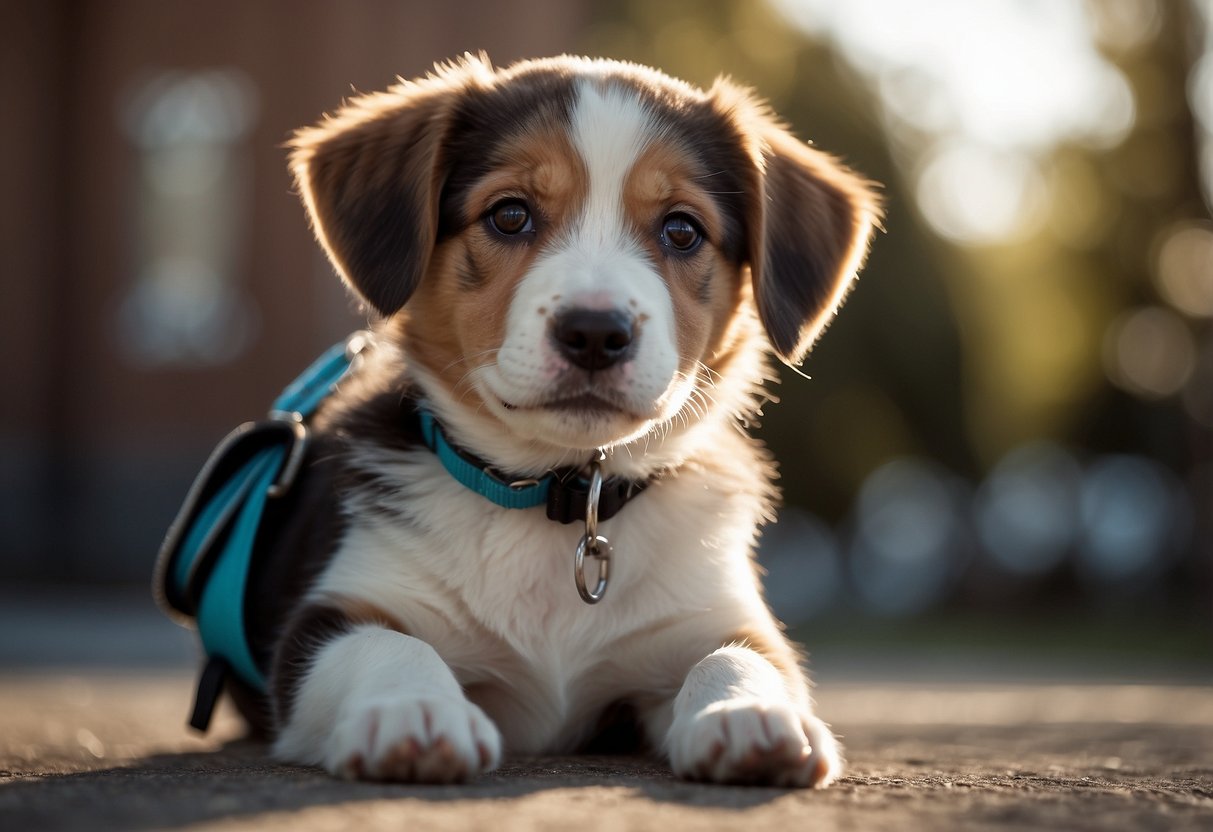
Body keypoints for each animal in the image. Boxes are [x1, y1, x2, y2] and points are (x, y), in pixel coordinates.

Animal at [236, 57, 878, 790]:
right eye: (510, 215)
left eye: (682, 230)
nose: (596, 332)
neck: (563, 496)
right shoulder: (326, 621)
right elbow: (385, 644)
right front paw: (414, 711)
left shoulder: (709, 619)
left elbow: (738, 657)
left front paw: (749, 713)